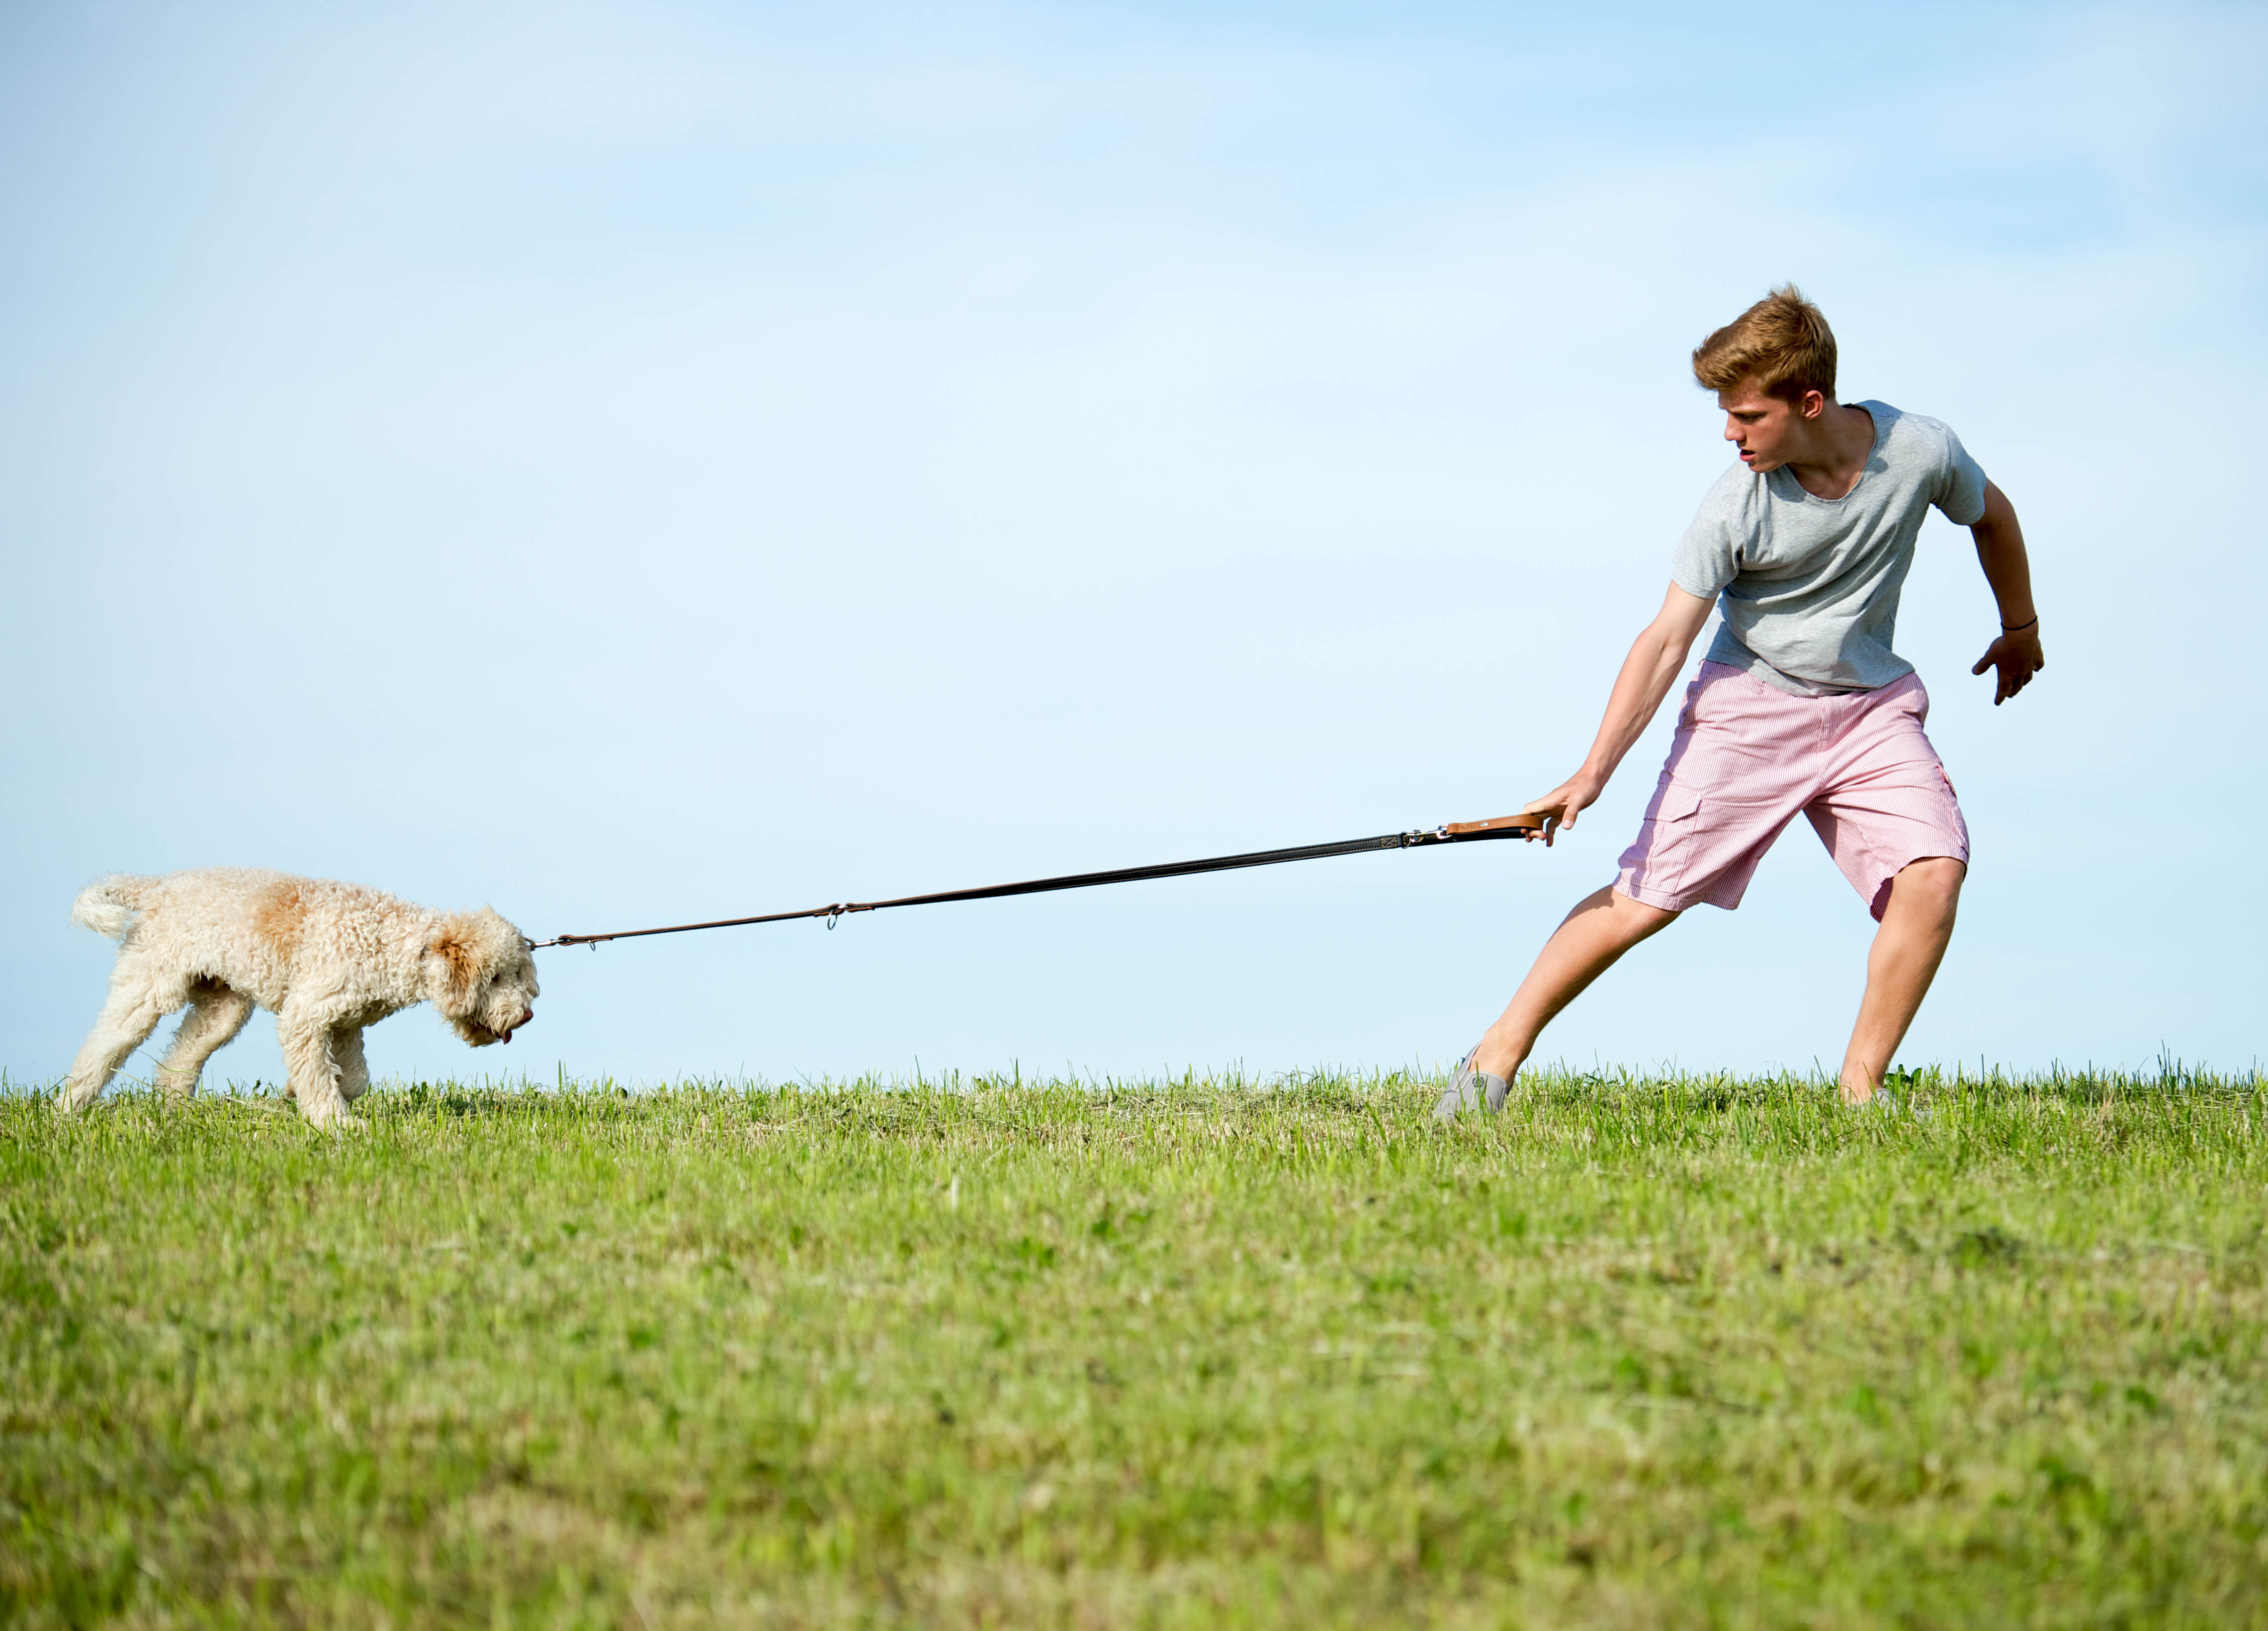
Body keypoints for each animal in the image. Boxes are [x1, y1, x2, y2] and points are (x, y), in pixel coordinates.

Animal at [64, 875, 542, 1129]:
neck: (395, 942)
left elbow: (355, 1079)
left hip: (224, 1009)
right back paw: (67, 1110)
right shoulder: (305, 1017)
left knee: (179, 1060)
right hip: (147, 989)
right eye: (495, 977)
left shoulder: (346, 1024)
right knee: (102, 1049)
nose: (527, 1015)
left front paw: (300, 1093)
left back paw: (177, 1112)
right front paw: (337, 1125)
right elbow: (320, 1076)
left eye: (519, 974)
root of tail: (156, 887)